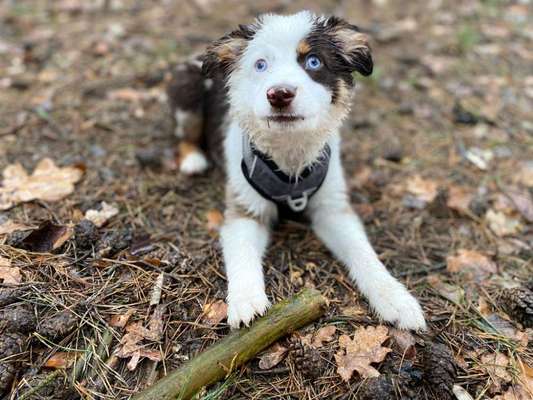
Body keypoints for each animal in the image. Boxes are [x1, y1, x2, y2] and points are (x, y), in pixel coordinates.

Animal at [168, 11, 426, 332]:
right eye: (260, 64)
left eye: (313, 61)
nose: (279, 94)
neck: (289, 157)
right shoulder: (244, 210)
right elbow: (242, 254)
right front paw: (246, 301)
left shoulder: (332, 209)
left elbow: (363, 252)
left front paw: (395, 297)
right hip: (187, 91)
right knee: (184, 136)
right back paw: (192, 159)